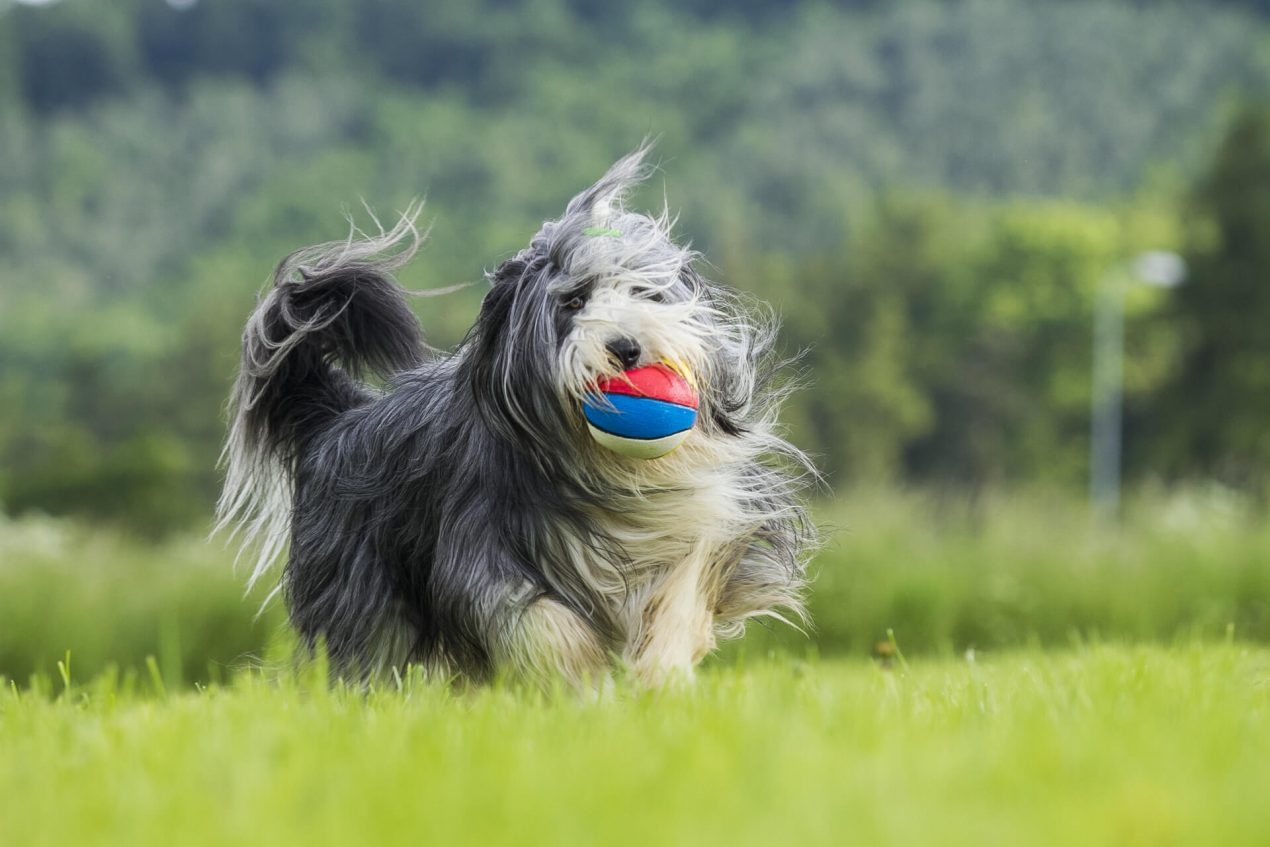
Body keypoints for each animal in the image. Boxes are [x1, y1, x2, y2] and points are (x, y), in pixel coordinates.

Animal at [215, 147, 812, 690]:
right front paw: (583, 681)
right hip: (361, 585)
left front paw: (659, 669)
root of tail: (341, 415)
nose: (626, 348)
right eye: (573, 302)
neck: (608, 472)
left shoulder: (702, 512)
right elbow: (536, 620)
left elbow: (685, 588)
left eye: (645, 292)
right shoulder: (478, 546)